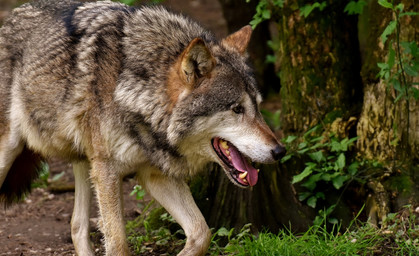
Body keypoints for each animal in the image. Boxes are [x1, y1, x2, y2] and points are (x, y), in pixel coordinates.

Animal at [0, 0, 286, 254]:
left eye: (258, 107)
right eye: (237, 109)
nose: (280, 151)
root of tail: (9, 17)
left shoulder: (154, 174)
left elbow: (201, 233)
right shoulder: (108, 171)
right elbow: (118, 245)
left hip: (85, 162)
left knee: (77, 227)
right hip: (13, 152)